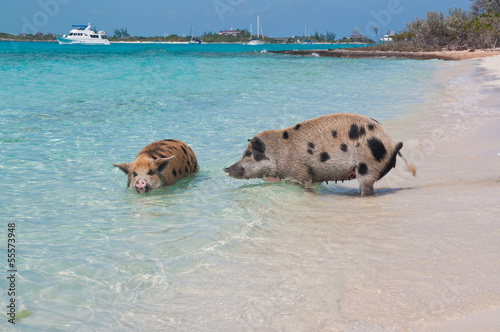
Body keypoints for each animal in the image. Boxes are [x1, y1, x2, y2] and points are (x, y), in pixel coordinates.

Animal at [225, 114, 416, 197]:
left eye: (248, 153)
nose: (225, 168)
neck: (279, 153)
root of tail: (392, 143)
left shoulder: (301, 172)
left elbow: (306, 187)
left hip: (368, 165)